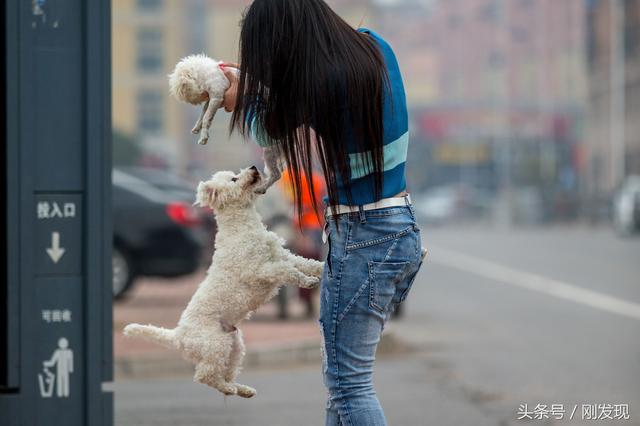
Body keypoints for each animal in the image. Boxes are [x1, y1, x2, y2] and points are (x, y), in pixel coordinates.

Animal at [124, 167, 324, 400]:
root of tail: (178, 336)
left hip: (234, 344)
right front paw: (307, 281)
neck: (241, 228)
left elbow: (305, 262)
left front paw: (322, 268)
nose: (253, 167)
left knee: (227, 372)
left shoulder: (282, 255)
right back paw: (228, 388)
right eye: (234, 179)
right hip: (216, 345)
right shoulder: (260, 270)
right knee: (204, 375)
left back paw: (242, 389)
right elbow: (288, 272)